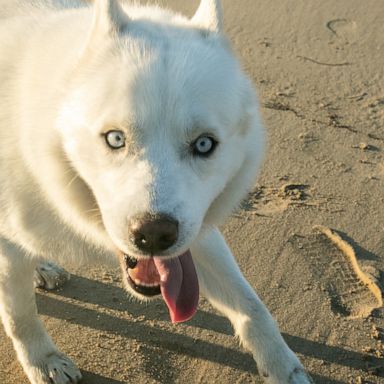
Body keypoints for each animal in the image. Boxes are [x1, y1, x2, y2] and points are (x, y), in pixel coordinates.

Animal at [0, 0, 312, 382]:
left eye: (205, 144)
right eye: (115, 138)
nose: (153, 236)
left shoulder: (194, 230)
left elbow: (252, 306)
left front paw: (285, 369)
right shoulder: (9, 249)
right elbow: (20, 315)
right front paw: (43, 361)